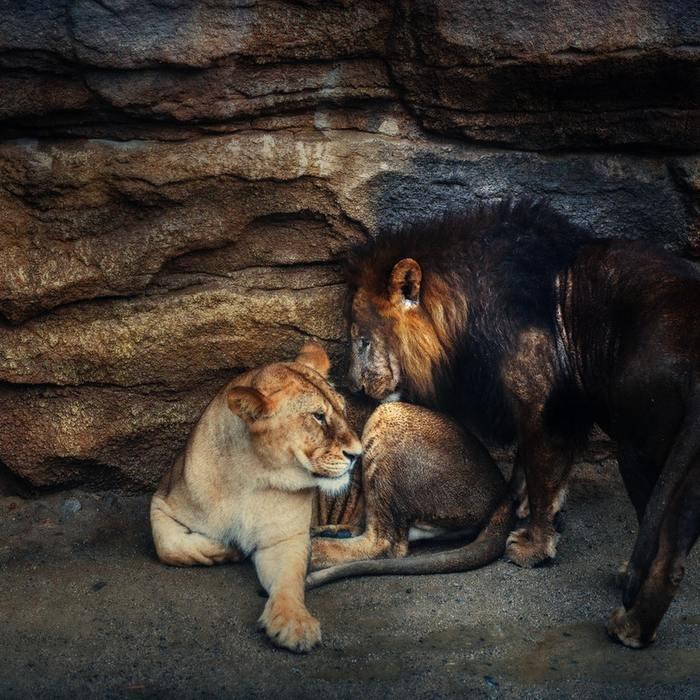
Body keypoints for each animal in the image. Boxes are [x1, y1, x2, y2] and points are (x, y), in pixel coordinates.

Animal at [152, 342, 360, 652]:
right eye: (318, 416)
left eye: (342, 409)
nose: (358, 454)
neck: (249, 477)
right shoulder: (162, 499)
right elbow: (168, 545)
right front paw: (230, 549)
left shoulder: (285, 539)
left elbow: (289, 581)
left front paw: (294, 623)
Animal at [346, 200, 700, 648]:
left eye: (362, 340)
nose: (354, 387)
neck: (466, 304)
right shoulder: (548, 408)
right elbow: (529, 468)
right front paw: (519, 507)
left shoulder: (541, 400)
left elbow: (543, 474)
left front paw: (533, 546)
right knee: (674, 559)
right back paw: (634, 616)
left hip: (639, 448)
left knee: (661, 544)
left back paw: (629, 624)